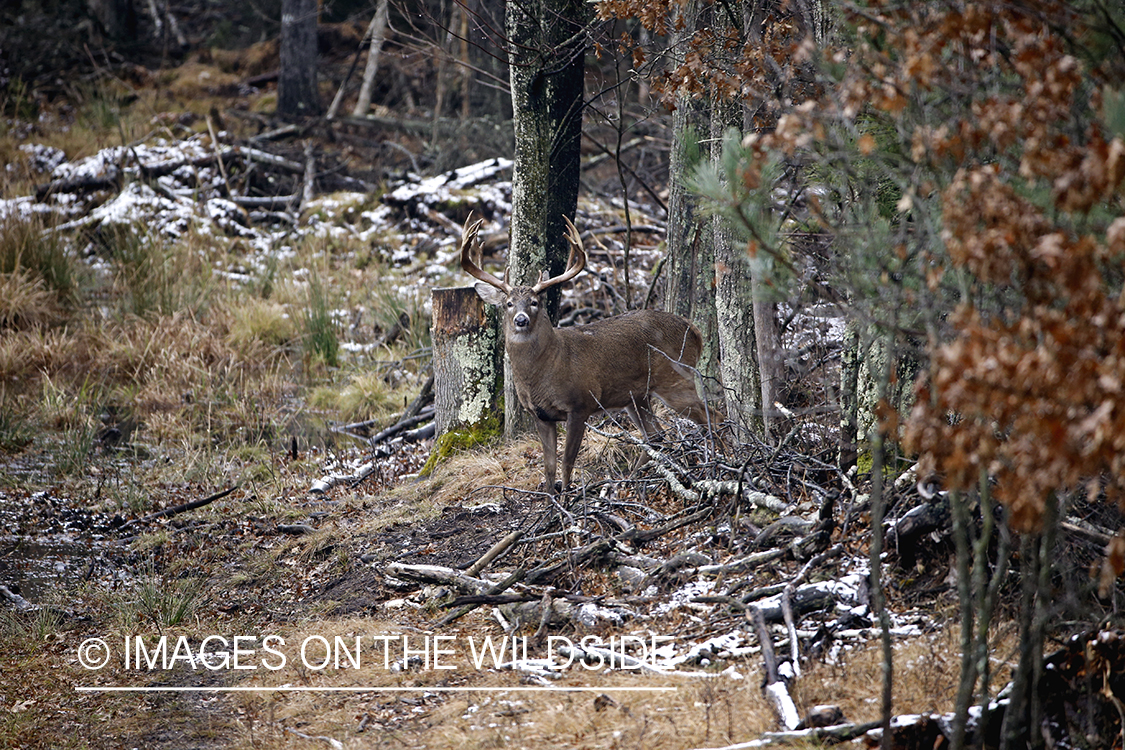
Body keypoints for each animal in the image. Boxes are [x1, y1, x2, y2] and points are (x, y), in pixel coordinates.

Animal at [459, 212, 706, 492]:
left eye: (534, 302)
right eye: (508, 304)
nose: (521, 320)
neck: (545, 369)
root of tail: (693, 329)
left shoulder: (580, 403)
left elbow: (567, 461)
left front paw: (568, 498)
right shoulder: (541, 415)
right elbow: (549, 467)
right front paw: (551, 499)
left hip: (676, 377)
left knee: (710, 416)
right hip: (636, 396)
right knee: (655, 434)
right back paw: (631, 478)